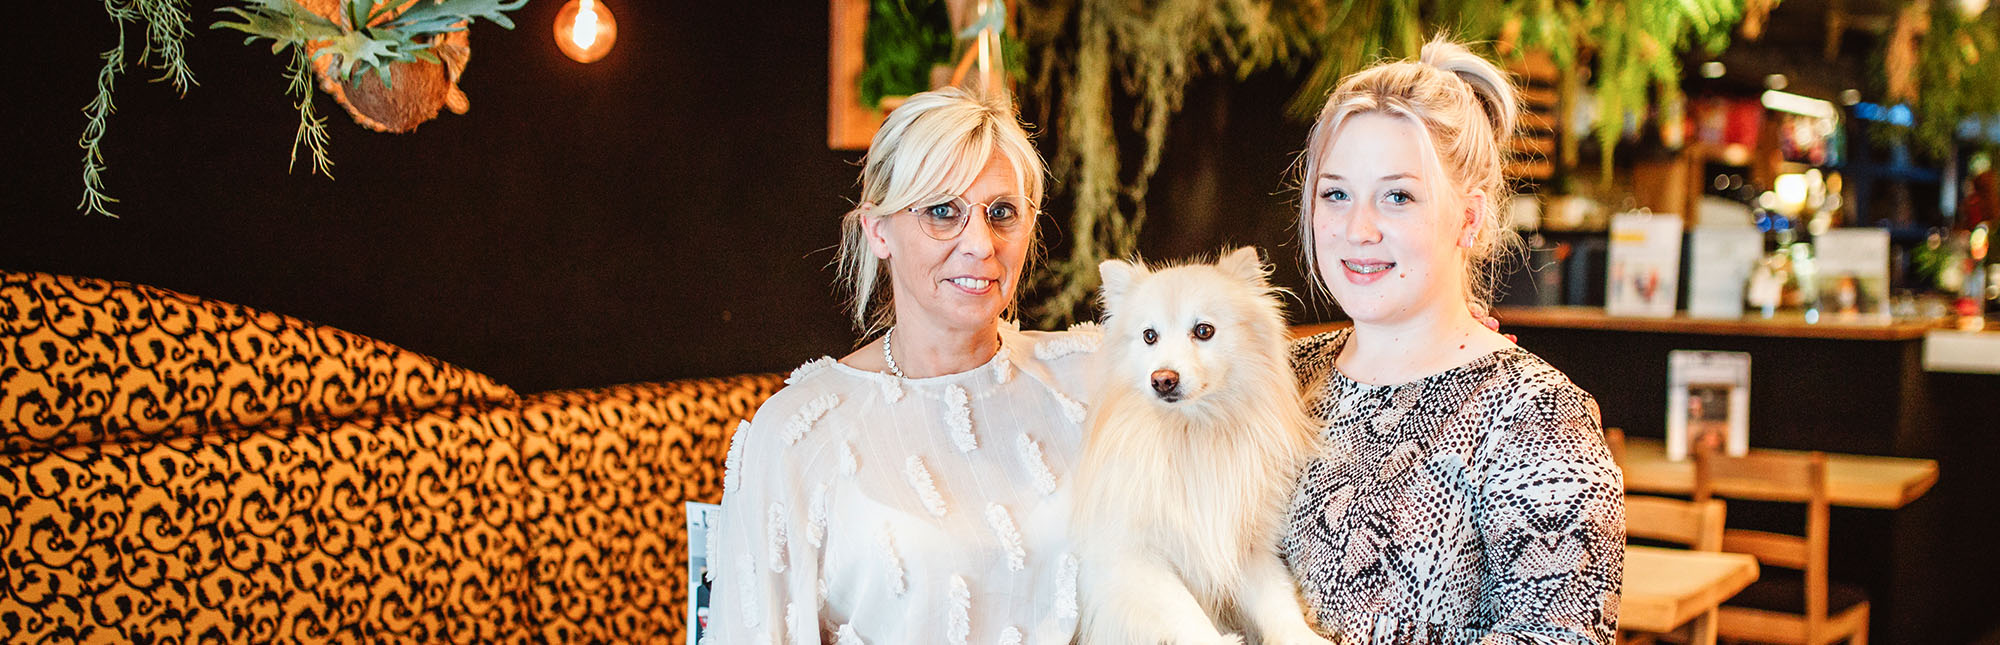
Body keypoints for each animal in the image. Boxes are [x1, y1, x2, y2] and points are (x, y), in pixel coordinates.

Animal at [1072, 247, 1336, 645]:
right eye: (1149, 336)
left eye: (1203, 331)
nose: (1163, 379)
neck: (1193, 432)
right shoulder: (1138, 559)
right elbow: (1185, 613)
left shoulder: (1246, 549)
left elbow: (1277, 604)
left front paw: (1302, 637)